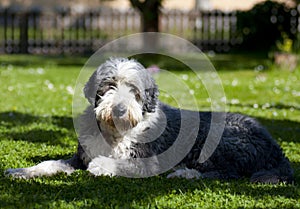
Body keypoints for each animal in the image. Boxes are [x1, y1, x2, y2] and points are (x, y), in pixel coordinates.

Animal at [5, 57, 294, 183]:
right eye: (109, 85)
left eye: (134, 90)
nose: (120, 109)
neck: (116, 134)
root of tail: (277, 150)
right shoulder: (79, 157)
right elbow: (50, 163)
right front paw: (20, 171)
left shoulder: (149, 160)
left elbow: (122, 164)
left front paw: (102, 166)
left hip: (225, 140)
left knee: (228, 173)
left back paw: (184, 173)